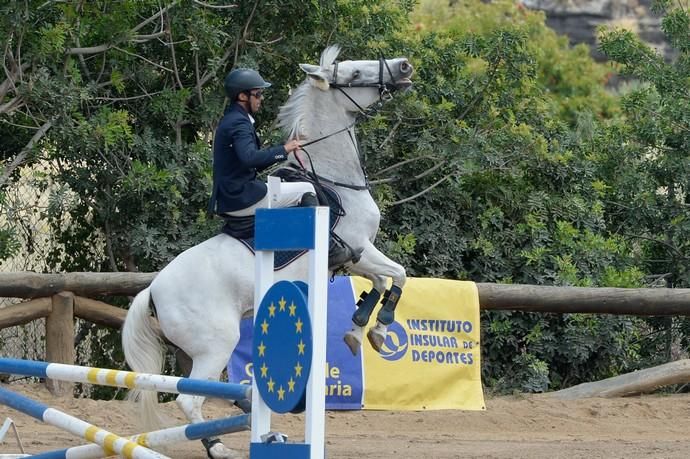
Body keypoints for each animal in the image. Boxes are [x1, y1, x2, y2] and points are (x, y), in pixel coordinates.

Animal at [121, 45, 412, 459]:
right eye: (354, 74)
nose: (403, 67)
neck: (334, 177)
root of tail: (152, 291)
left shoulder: (355, 259)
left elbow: (383, 281)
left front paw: (361, 328)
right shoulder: (358, 248)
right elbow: (398, 273)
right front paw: (380, 327)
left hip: (192, 351)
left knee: (205, 392)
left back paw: (246, 412)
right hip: (216, 344)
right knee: (188, 400)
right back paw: (219, 446)